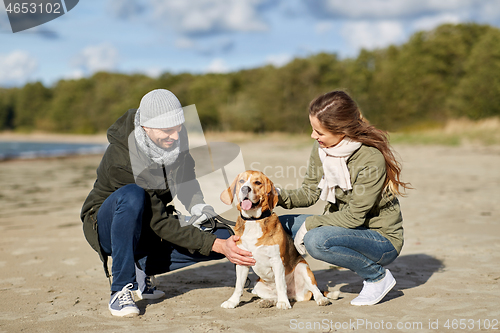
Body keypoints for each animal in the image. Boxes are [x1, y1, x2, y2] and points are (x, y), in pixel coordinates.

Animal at [220, 171, 330, 308]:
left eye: (258, 182)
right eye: (241, 181)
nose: (245, 188)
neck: (254, 220)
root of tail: (292, 295)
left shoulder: (277, 260)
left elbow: (280, 284)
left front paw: (283, 303)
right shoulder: (242, 261)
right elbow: (238, 286)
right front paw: (232, 302)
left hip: (303, 268)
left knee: (315, 290)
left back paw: (320, 299)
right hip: (258, 286)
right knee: (273, 295)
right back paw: (268, 301)